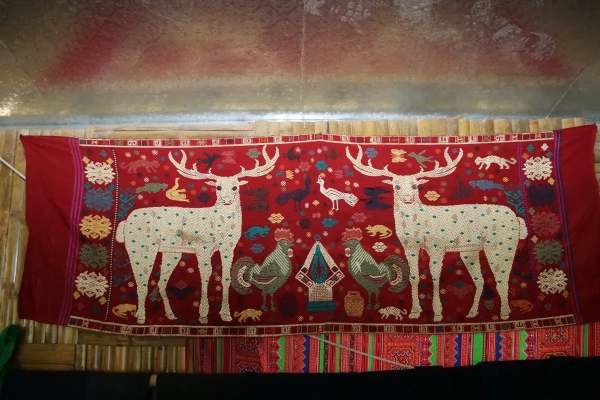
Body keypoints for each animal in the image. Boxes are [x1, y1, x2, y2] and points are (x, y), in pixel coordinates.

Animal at [116, 145, 279, 324]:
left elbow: (226, 277)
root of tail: (125, 223)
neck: (221, 229)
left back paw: (170, 315)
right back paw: (141, 317)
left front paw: (226, 314)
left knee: (160, 281)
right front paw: (203, 314)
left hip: (171, 252)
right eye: (218, 187)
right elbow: (205, 276)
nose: (227, 200)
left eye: (235, 187)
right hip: (140, 247)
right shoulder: (203, 247)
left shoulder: (229, 247)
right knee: (141, 279)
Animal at [346, 145, 527, 322]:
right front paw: (414, 312)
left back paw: (504, 313)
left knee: (502, 278)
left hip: (501, 245)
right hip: (470, 251)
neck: (417, 227)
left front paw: (438, 313)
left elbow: (435, 275)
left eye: (415, 186)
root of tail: (517, 218)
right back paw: (472, 313)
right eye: (396, 186)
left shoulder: (437, 246)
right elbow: (414, 276)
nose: (407, 199)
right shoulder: (409, 247)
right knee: (480, 280)